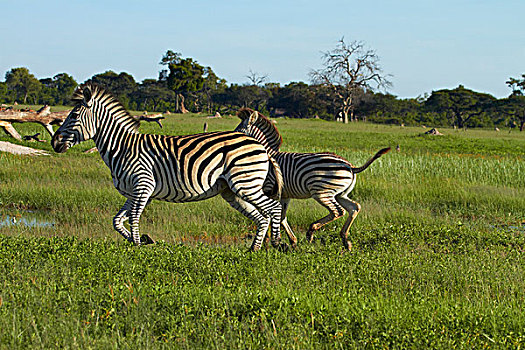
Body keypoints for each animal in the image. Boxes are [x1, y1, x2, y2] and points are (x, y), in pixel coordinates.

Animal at [51, 83, 284, 250]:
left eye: (73, 115)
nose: (54, 142)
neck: (122, 147)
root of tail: (261, 146)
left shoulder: (143, 185)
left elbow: (133, 217)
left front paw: (138, 246)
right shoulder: (134, 192)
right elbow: (117, 220)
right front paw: (140, 240)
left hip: (245, 184)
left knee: (274, 208)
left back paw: (275, 243)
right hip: (232, 191)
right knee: (262, 216)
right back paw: (253, 249)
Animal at [233, 108, 388, 250]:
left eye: (239, 130)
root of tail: (351, 166)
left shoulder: (269, 189)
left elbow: (270, 214)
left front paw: (266, 243)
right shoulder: (284, 195)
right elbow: (282, 217)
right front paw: (292, 241)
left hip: (322, 193)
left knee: (338, 211)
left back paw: (311, 231)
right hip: (340, 194)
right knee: (354, 208)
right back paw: (345, 240)